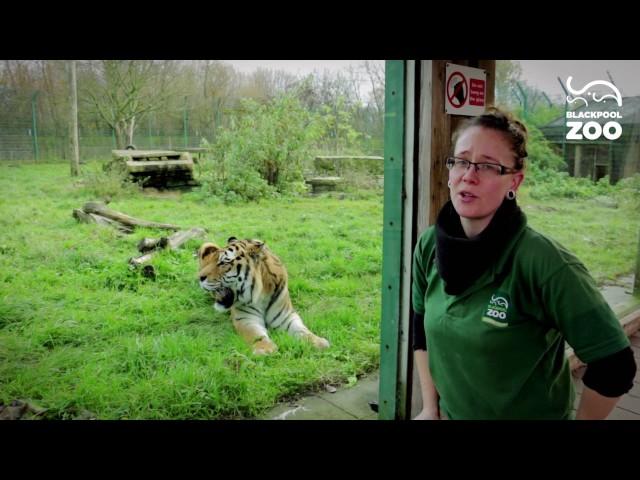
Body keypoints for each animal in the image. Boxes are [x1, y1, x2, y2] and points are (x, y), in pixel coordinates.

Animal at [198, 237, 330, 354]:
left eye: (224, 263)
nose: (199, 277)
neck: (263, 293)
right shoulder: (246, 319)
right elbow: (256, 335)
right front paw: (266, 349)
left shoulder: (286, 316)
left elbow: (302, 330)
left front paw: (318, 342)